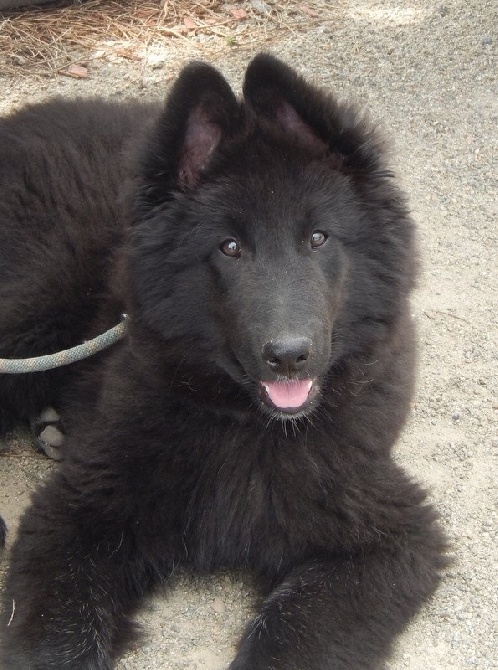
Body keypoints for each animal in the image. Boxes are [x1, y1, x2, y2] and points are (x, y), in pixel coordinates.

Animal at [0, 55, 446, 668]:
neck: (246, 427)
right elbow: (55, 634)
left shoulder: (388, 535)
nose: (289, 356)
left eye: (318, 238)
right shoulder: (75, 511)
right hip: (32, 303)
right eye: (230, 247)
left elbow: (292, 630)